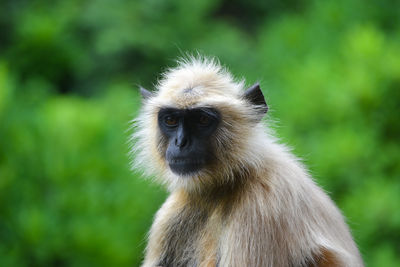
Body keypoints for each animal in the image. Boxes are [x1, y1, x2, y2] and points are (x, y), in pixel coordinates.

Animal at [133, 57, 364, 267]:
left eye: (202, 120)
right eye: (171, 120)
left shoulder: (261, 210)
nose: (181, 142)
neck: (222, 188)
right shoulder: (170, 215)